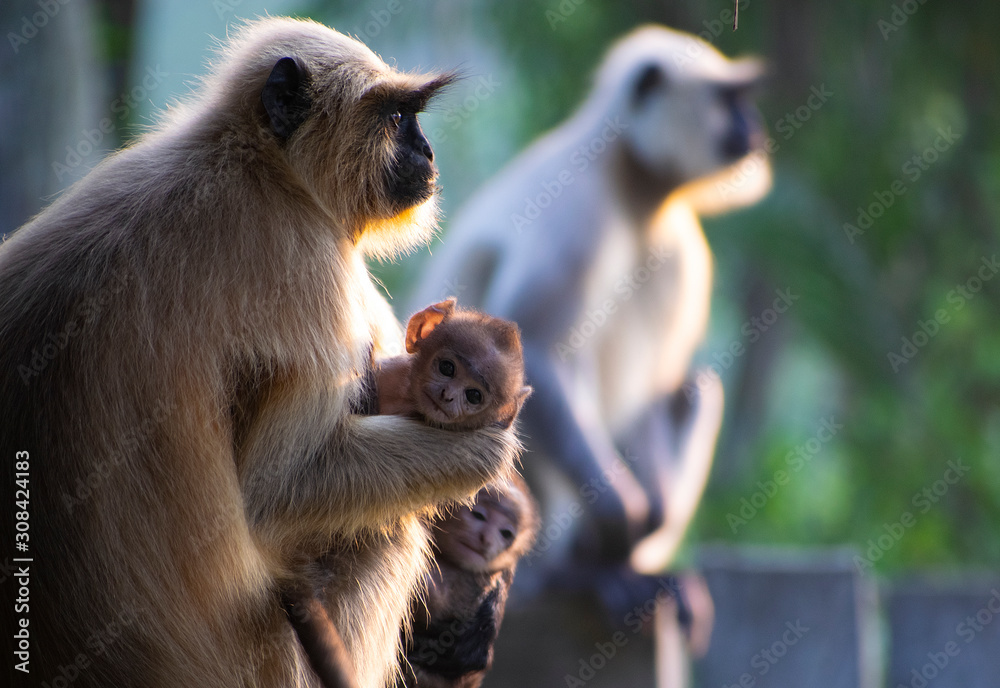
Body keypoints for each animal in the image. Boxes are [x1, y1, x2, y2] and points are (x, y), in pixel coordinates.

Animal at [0, 17, 521, 688]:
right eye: (397, 118)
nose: (427, 153)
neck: (257, 167)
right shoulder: (306, 265)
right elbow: (276, 493)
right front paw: (488, 450)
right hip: (269, 657)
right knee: (389, 533)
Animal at [409, 24, 770, 615]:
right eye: (729, 100)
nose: (754, 129)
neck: (633, 187)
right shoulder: (575, 207)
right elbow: (533, 352)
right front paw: (622, 518)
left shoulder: (681, 246)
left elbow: (655, 386)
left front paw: (645, 523)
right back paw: (576, 570)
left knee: (694, 386)